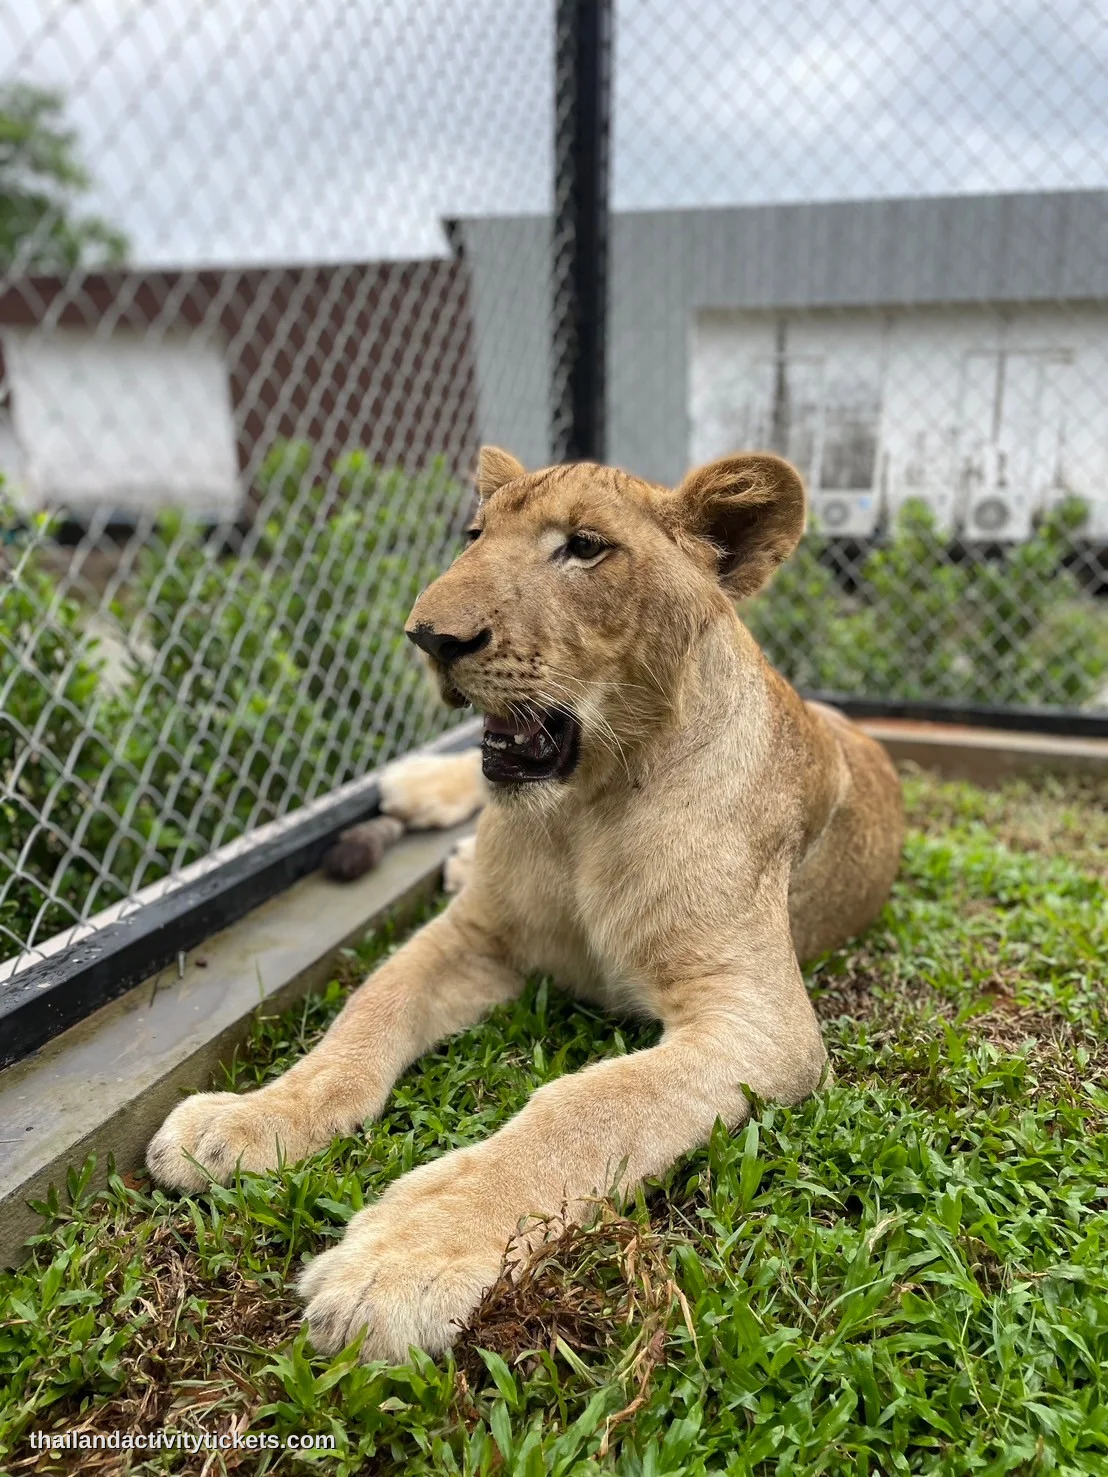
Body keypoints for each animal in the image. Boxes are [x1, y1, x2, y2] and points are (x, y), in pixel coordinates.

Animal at [147, 446, 904, 1363]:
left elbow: (588, 1108)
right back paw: (414, 789)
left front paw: (402, 1259)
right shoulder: (476, 933)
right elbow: (365, 1015)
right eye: (474, 536)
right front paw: (249, 1117)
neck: (588, 808)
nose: (431, 636)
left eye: (584, 547)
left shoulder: (761, 1020)